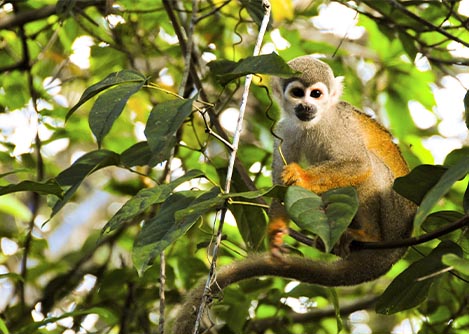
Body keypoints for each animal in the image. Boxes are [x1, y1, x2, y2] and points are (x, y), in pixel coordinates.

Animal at [170, 56, 414, 332]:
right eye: (298, 93)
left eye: (316, 94)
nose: (306, 105)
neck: (314, 123)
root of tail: (397, 250)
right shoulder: (285, 129)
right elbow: (279, 188)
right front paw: (276, 233)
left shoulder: (339, 127)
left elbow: (361, 164)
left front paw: (302, 177)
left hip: (395, 216)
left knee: (374, 170)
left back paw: (369, 234)